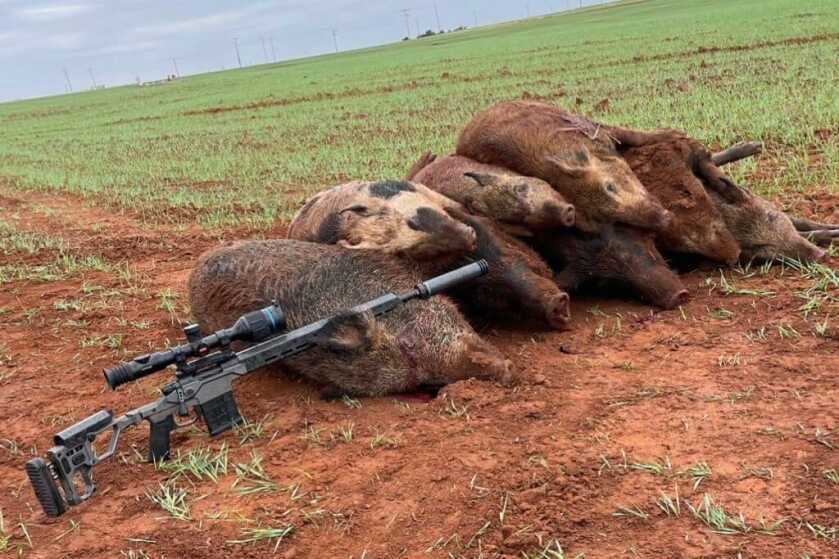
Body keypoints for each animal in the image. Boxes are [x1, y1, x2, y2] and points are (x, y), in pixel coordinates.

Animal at [455, 100, 675, 233]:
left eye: (609, 186)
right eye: (611, 217)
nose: (665, 219)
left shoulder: (595, 128)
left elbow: (632, 134)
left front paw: (673, 134)